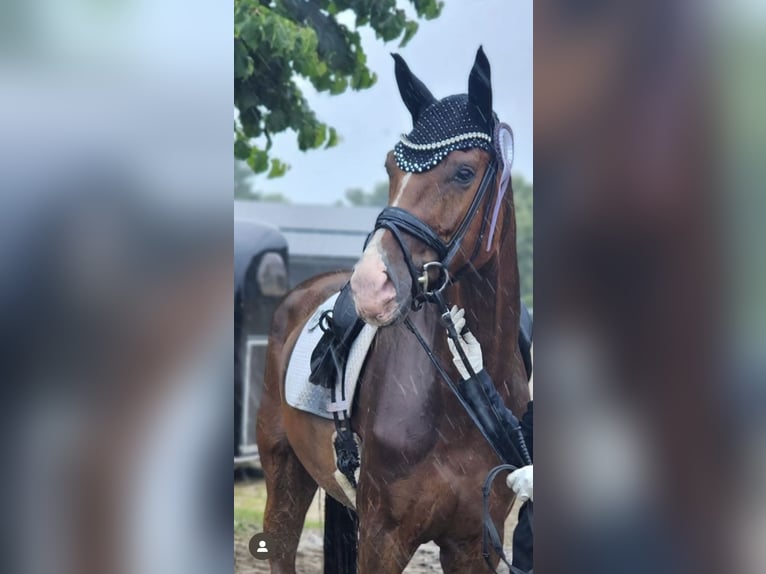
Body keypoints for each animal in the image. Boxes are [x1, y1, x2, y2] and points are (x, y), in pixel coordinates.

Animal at [256, 47, 530, 573]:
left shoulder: (473, 546)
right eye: (390, 168)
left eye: (463, 172)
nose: (370, 285)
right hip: (284, 472)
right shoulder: (383, 539)